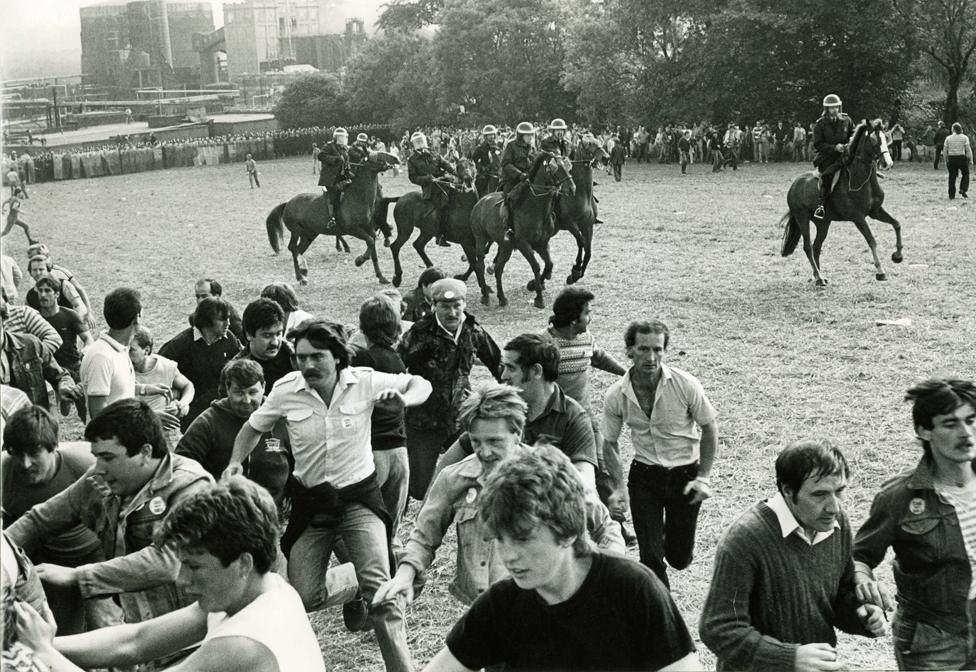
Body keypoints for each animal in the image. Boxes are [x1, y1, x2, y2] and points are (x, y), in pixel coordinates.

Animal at [264, 151, 396, 284]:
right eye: (372, 158)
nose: (389, 163)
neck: (358, 198)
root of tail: (288, 203)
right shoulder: (353, 230)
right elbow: (369, 241)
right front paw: (359, 260)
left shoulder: (369, 229)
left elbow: (373, 248)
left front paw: (381, 277)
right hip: (296, 231)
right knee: (293, 248)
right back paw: (301, 275)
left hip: (308, 235)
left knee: (298, 250)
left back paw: (302, 274)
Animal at [386, 160, 484, 292]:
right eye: (459, 167)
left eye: (472, 165)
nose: (468, 179)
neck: (465, 208)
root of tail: (401, 198)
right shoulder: (466, 242)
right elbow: (474, 263)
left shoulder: (474, 242)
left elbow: (474, 262)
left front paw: (463, 277)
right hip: (405, 230)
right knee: (395, 247)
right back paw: (397, 278)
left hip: (427, 232)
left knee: (418, 245)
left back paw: (432, 269)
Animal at [468, 152, 576, 308]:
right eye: (555, 168)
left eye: (568, 166)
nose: (572, 188)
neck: (534, 208)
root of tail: (480, 202)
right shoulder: (523, 244)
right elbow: (536, 266)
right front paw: (539, 298)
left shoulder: (542, 244)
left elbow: (549, 264)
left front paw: (535, 285)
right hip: (481, 239)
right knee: (480, 265)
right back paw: (485, 295)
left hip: (505, 247)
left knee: (499, 269)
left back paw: (502, 298)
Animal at [780, 122, 904, 284]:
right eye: (873, 140)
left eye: (886, 137)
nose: (887, 163)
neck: (862, 180)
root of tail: (794, 185)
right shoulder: (858, 218)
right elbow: (871, 240)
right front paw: (880, 271)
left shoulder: (876, 212)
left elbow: (897, 224)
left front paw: (897, 256)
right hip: (802, 219)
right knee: (808, 247)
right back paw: (819, 277)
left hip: (823, 223)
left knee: (816, 247)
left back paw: (818, 276)